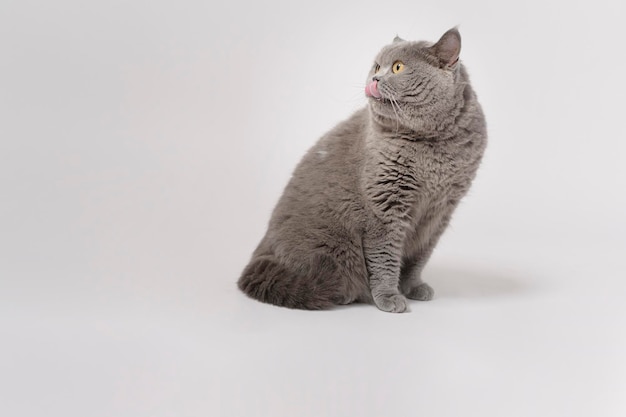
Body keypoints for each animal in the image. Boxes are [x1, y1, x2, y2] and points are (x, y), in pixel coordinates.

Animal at [236, 28, 486, 312]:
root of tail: (259, 255)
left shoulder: (440, 213)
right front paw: (389, 297)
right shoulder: (385, 209)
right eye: (377, 66)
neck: (432, 146)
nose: (375, 78)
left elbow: (419, 256)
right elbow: (385, 257)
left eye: (398, 67)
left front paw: (413, 287)